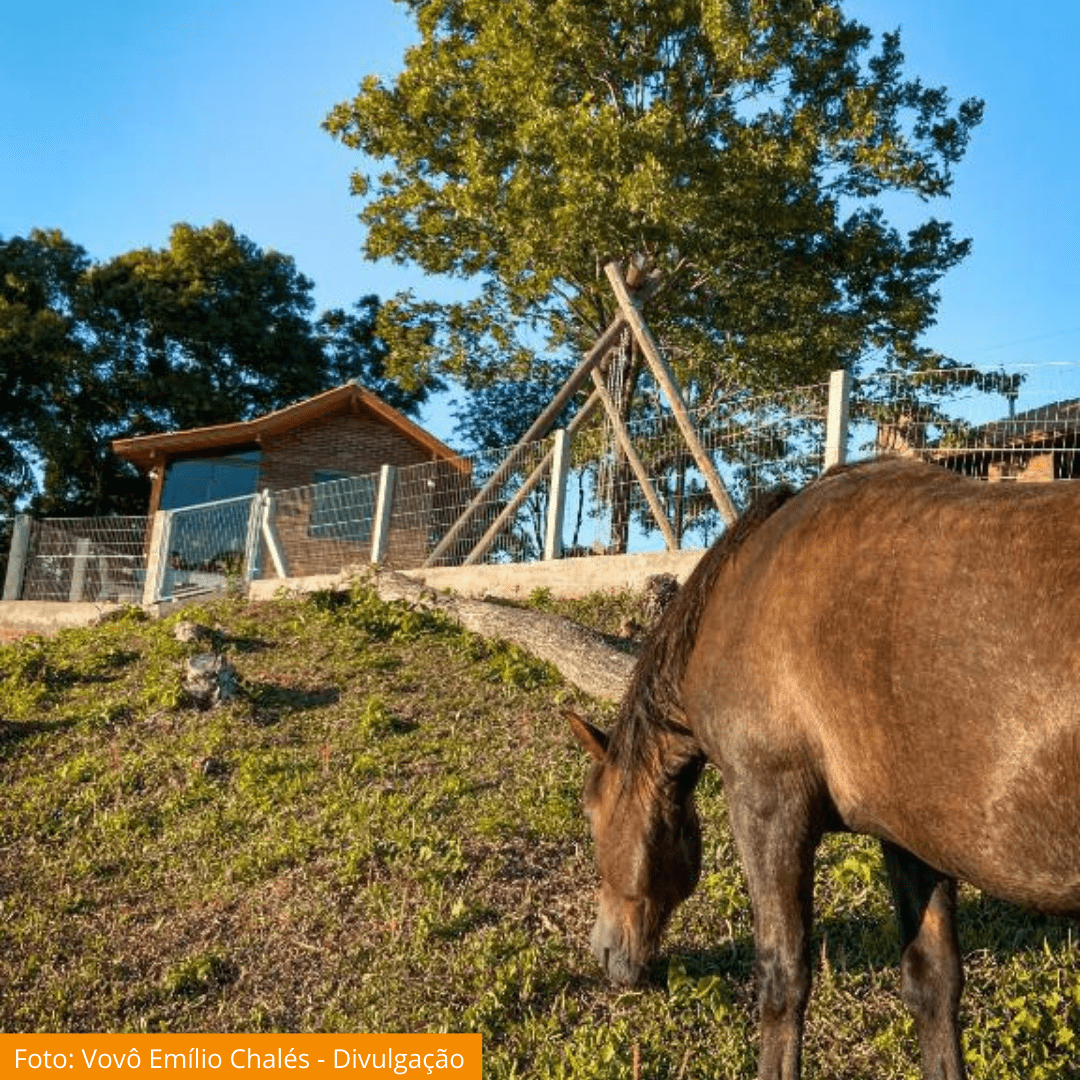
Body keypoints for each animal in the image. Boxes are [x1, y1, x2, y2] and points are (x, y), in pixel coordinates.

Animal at [570, 455, 1080, 1080]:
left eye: (592, 815)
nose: (603, 951)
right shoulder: (910, 837)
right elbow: (933, 984)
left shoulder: (768, 808)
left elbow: (782, 980)